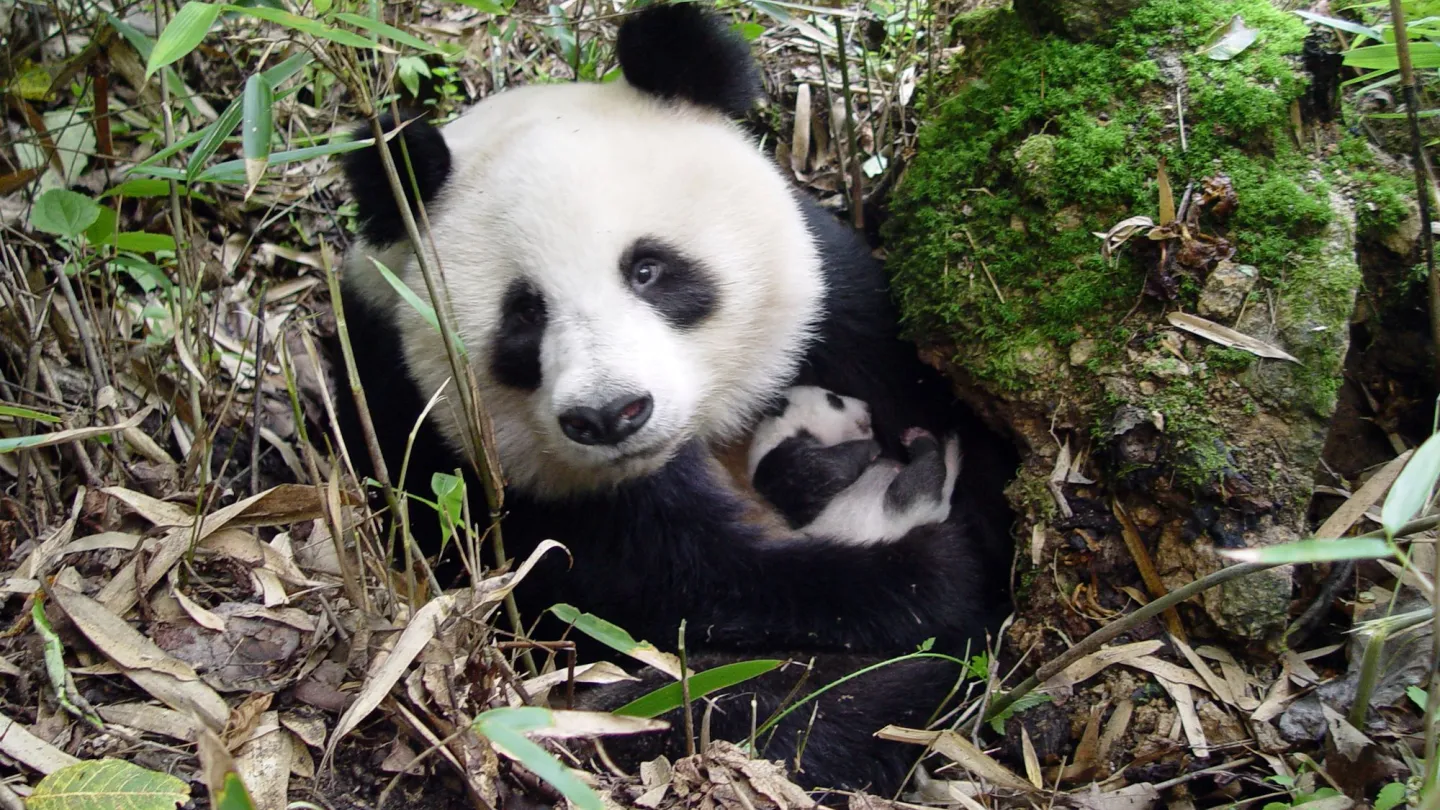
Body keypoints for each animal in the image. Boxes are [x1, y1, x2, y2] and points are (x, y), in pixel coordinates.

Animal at [747, 386, 962, 544]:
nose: (867, 407)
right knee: (918, 481)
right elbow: (823, 471)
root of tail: (937, 512)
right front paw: (871, 449)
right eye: (835, 400)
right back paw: (921, 444)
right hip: (894, 512)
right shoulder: (776, 462)